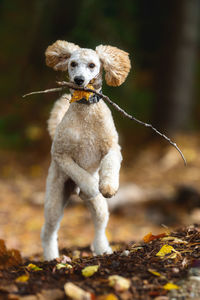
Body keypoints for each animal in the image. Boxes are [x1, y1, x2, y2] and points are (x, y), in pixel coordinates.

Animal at [41, 40, 131, 260]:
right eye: (72, 63)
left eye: (92, 65)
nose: (79, 80)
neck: (86, 111)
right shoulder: (60, 154)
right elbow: (79, 172)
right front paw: (90, 186)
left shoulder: (112, 148)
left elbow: (110, 165)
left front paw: (108, 186)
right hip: (55, 197)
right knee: (49, 231)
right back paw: (52, 257)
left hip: (99, 207)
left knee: (99, 225)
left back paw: (102, 249)